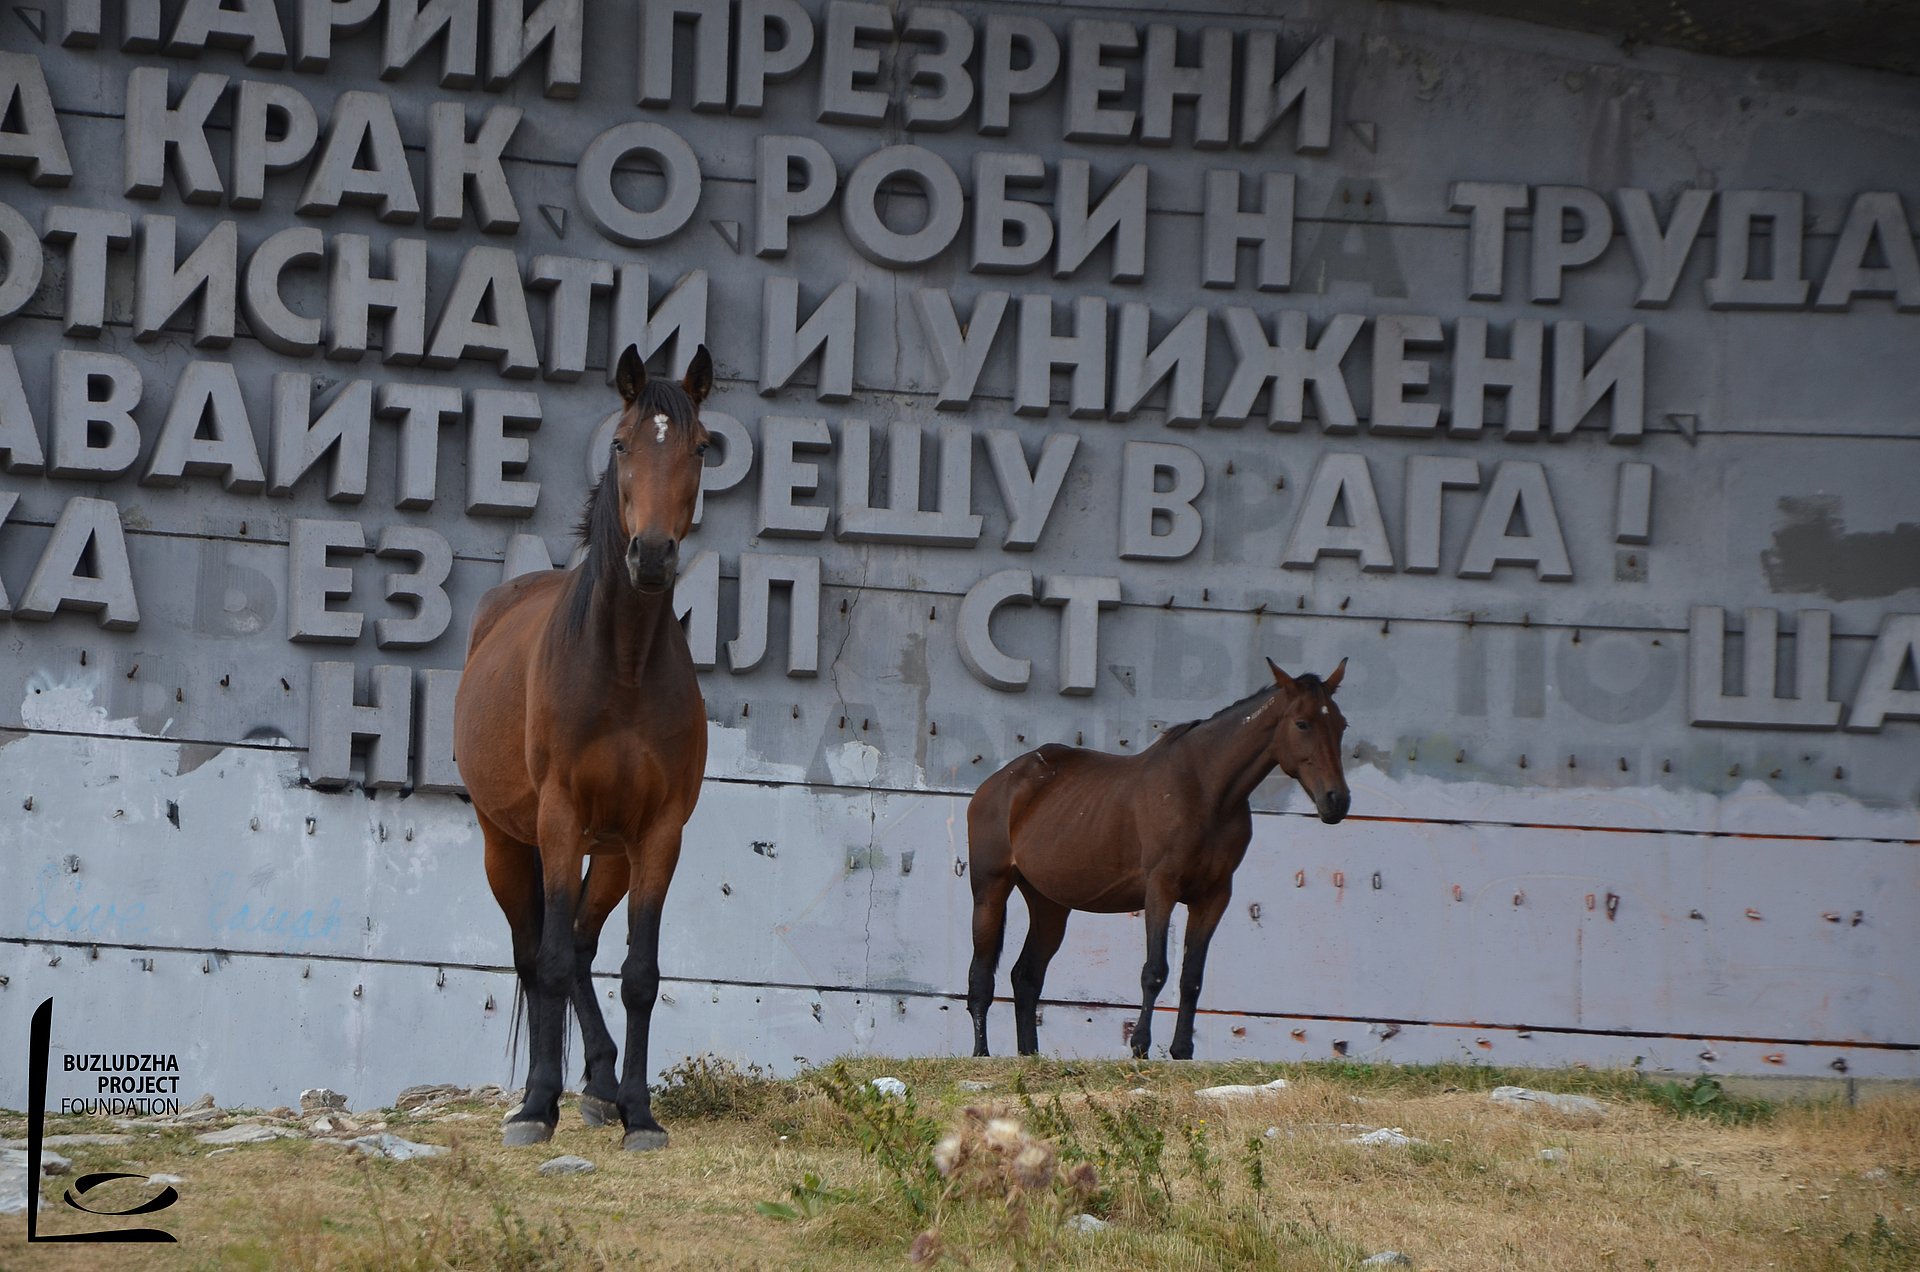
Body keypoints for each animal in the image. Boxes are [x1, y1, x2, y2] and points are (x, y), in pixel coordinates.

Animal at [455, 343, 714, 1152]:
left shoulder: (659, 835)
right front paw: (538, 1107)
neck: (621, 667)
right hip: (507, 843)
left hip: (613, 854)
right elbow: (549, 961)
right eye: (623, 443)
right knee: (537, 952)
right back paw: (544, 1095)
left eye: (701, 447)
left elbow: (639, 973)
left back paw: (600, 1086)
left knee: (582, 946)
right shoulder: (559, 819)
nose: (652, 556)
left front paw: (640, 1113)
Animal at [960, 660, 1351, 1060]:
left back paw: (1029, 1055)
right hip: (990, 889)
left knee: (1026, 976)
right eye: (1302, 723)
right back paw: (981, 1053)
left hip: (1049, 902)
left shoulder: (1213, 896)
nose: (1336, 800)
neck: (1204, 791)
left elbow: (1191, 976)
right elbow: (1155, 969)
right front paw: (1140, 1046)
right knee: (981, 976)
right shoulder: (1161, 887)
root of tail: (996, 784)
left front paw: (1181, 1050)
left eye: (1341, 724)